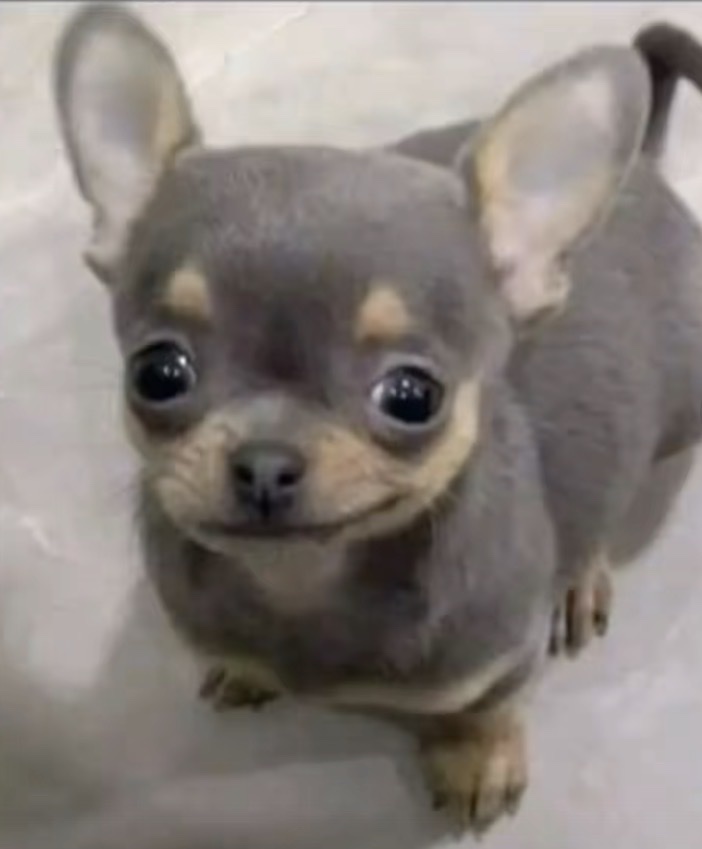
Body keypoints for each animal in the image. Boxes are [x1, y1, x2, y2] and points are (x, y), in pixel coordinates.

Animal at [54, 5, 702, 833]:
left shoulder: (500, 658)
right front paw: (243, 669)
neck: (303, 583)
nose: (266, 460)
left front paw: (475, 760)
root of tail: (645, 169)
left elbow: (483, 710)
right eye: (158, 373)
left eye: (412, 396)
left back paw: (579, 579)